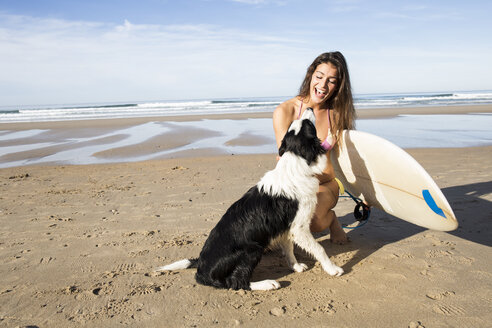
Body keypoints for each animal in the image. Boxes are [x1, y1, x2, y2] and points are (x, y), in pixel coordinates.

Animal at [157, 109, 342, 290]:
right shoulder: (299, 227)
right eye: (308, 124)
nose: (309, 108)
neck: (294, 163)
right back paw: (267, 284)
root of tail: (202, 270)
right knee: (237, 282)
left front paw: (295, 266)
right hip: (252, 249)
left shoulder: (285, 227)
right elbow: (319, 248)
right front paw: (333, 269)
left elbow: (289, 249)